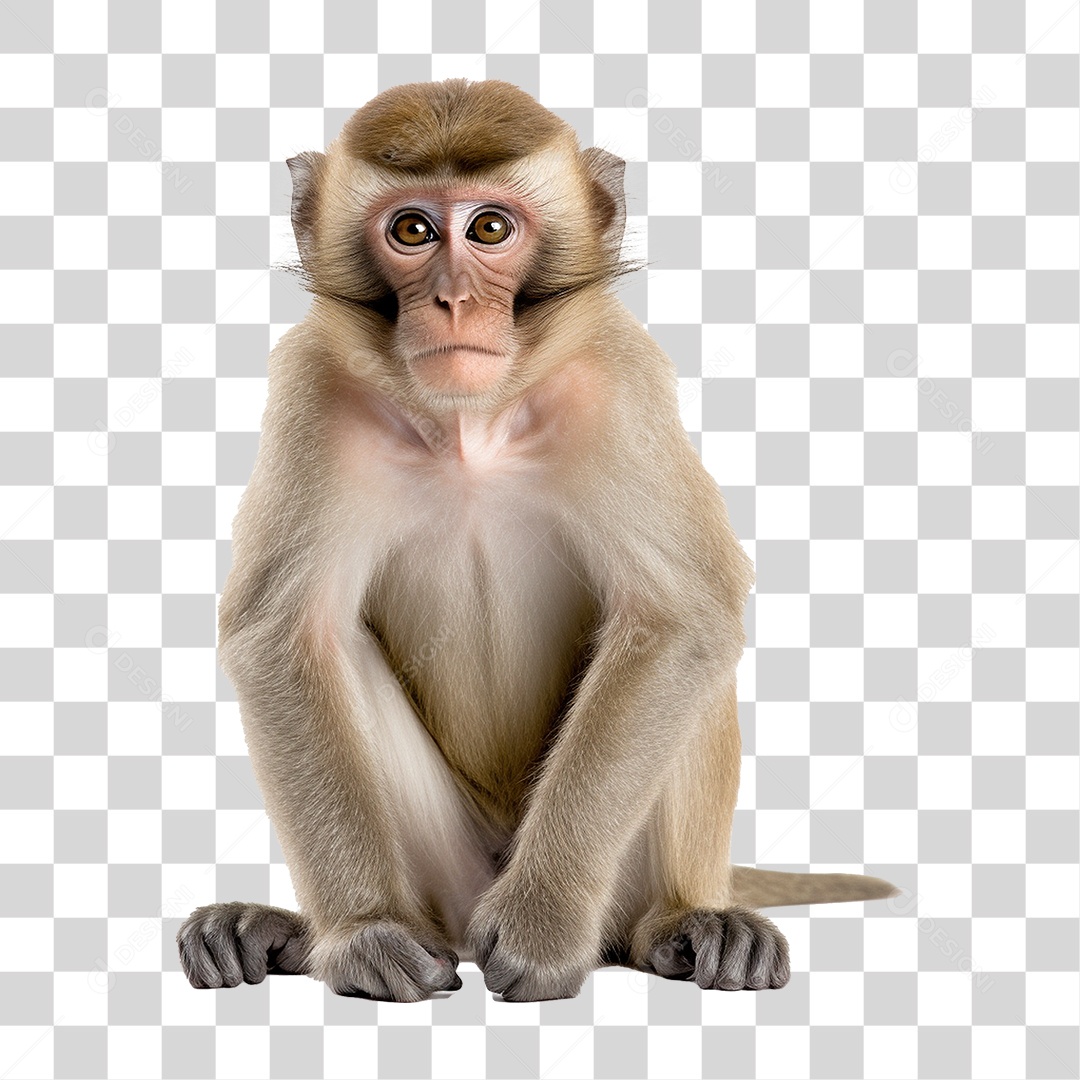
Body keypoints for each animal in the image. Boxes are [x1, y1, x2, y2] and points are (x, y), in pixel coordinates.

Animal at [177, 78, 897, 1003]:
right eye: (412, 230)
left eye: (490, 229)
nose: (452, 299)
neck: (469, 428)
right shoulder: (313, 390)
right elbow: (283, 637)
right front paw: (365, 929)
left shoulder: (619, 383)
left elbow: (680, 620)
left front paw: (543, 924)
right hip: (448, 881)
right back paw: (289, 934)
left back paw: (682, 923)